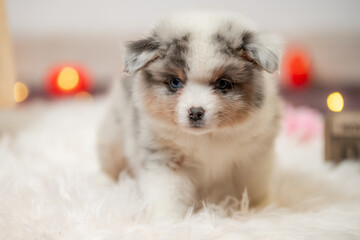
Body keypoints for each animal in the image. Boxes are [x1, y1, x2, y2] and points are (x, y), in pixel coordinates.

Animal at [97, 12, 282, 220]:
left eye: (223, 83)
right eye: (175, 82)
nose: (195, 112)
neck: (208, 137)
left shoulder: (254, 156)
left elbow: (254, 187)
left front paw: (262, 209)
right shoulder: (163, 157)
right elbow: (167, 194)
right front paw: (168, 220)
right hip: (114, 135)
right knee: (110, 162)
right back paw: (104, 184)